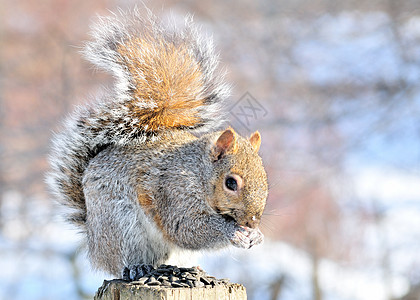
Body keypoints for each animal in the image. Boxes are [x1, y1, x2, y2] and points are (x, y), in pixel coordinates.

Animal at [46, 7, 270, 278]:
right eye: (231, 183)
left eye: (265, 178)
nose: (252, 221)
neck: (198, 172)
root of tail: (93, 238)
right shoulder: (174, 190)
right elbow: (186, 228)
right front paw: (234, 232)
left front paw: (256, 236)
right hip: (120, 225)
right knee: (122, 261)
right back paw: (135, 267)